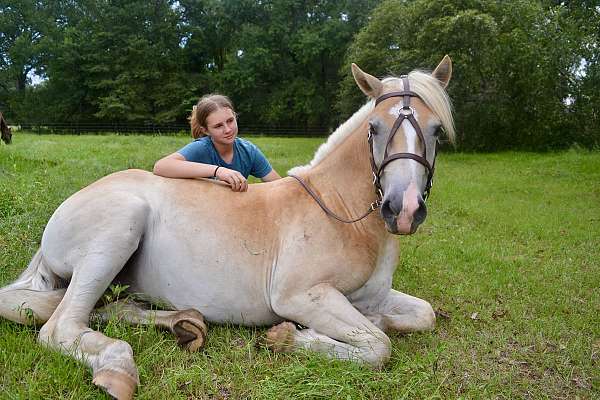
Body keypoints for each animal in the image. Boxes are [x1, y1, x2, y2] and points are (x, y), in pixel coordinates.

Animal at [0, 57, 454, 400]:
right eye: (374, 129)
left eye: (436, 131)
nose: (403, 210)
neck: (338, 213)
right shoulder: (300, 296)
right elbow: (378, 346)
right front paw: (286, 338)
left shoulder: (371, 296)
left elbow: (421, 315)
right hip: (118, 229)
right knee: (60, 326)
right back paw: (119, 368)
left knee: (109, 308)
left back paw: (185, 324)